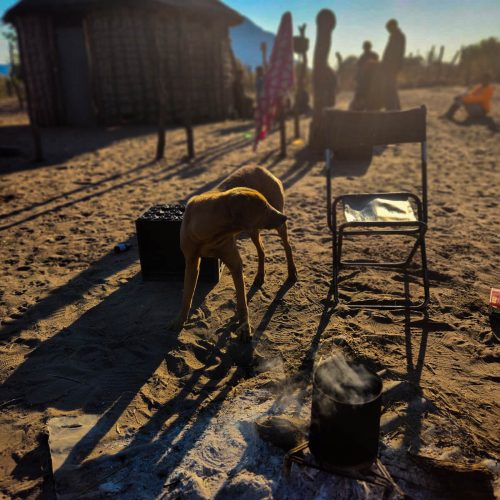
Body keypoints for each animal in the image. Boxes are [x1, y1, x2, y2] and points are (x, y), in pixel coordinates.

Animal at [172, 165, 296, 340]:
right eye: (264, 207)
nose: (285, 217)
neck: (210, 231)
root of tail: (260, 167)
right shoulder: (191, 262)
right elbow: (187, 296)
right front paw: (179, 321)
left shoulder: (234, 263)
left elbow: (242, 300)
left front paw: (245, 327)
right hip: (253, 229)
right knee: (261, 251)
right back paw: (259, 276)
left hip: (274, 226)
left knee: (287, 247)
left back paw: (292, 273)